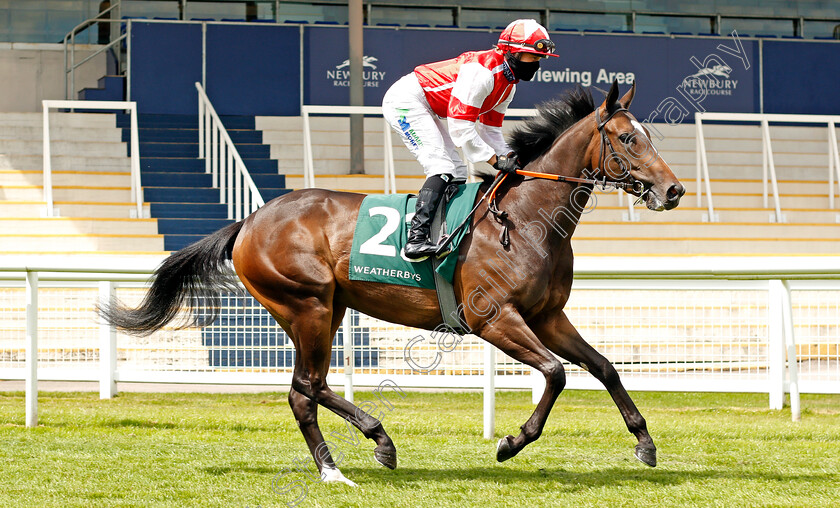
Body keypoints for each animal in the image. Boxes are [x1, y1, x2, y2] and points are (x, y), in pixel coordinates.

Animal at [103, 79, 684, 484]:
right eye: (628, 138)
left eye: (651, 136)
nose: (674, 190)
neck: (526, 216)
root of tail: (249, 221)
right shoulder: (492, 318)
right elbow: (556, 374)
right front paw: (511, 442)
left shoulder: (548, 316)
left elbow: (603, 367)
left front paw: (645, 443)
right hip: (307, 305)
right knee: (310, 384)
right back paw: (367, 447)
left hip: (324, 309)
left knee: (301, 391)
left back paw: (343, 461)